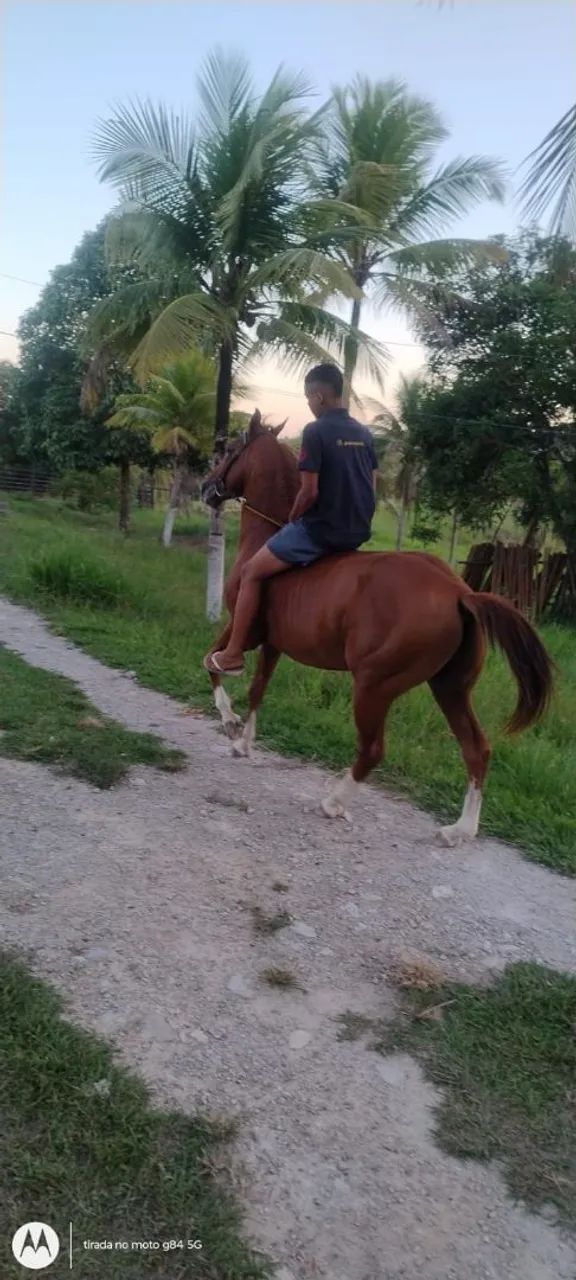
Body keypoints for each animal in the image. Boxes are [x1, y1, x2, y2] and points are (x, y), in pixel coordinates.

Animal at [201, 412, 553, 844]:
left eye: (232, 450)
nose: (206, 488)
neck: (266, 533)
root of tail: (459, 592)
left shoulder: (244, 630)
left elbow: (213, 664)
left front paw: (229, 722)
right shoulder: (273, 643)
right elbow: (257, 689)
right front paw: (244, 742)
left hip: (374, 685)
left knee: (372, 749)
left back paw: (334, 802)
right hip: (450, 687)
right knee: (477, 748)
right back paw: (460, 829)